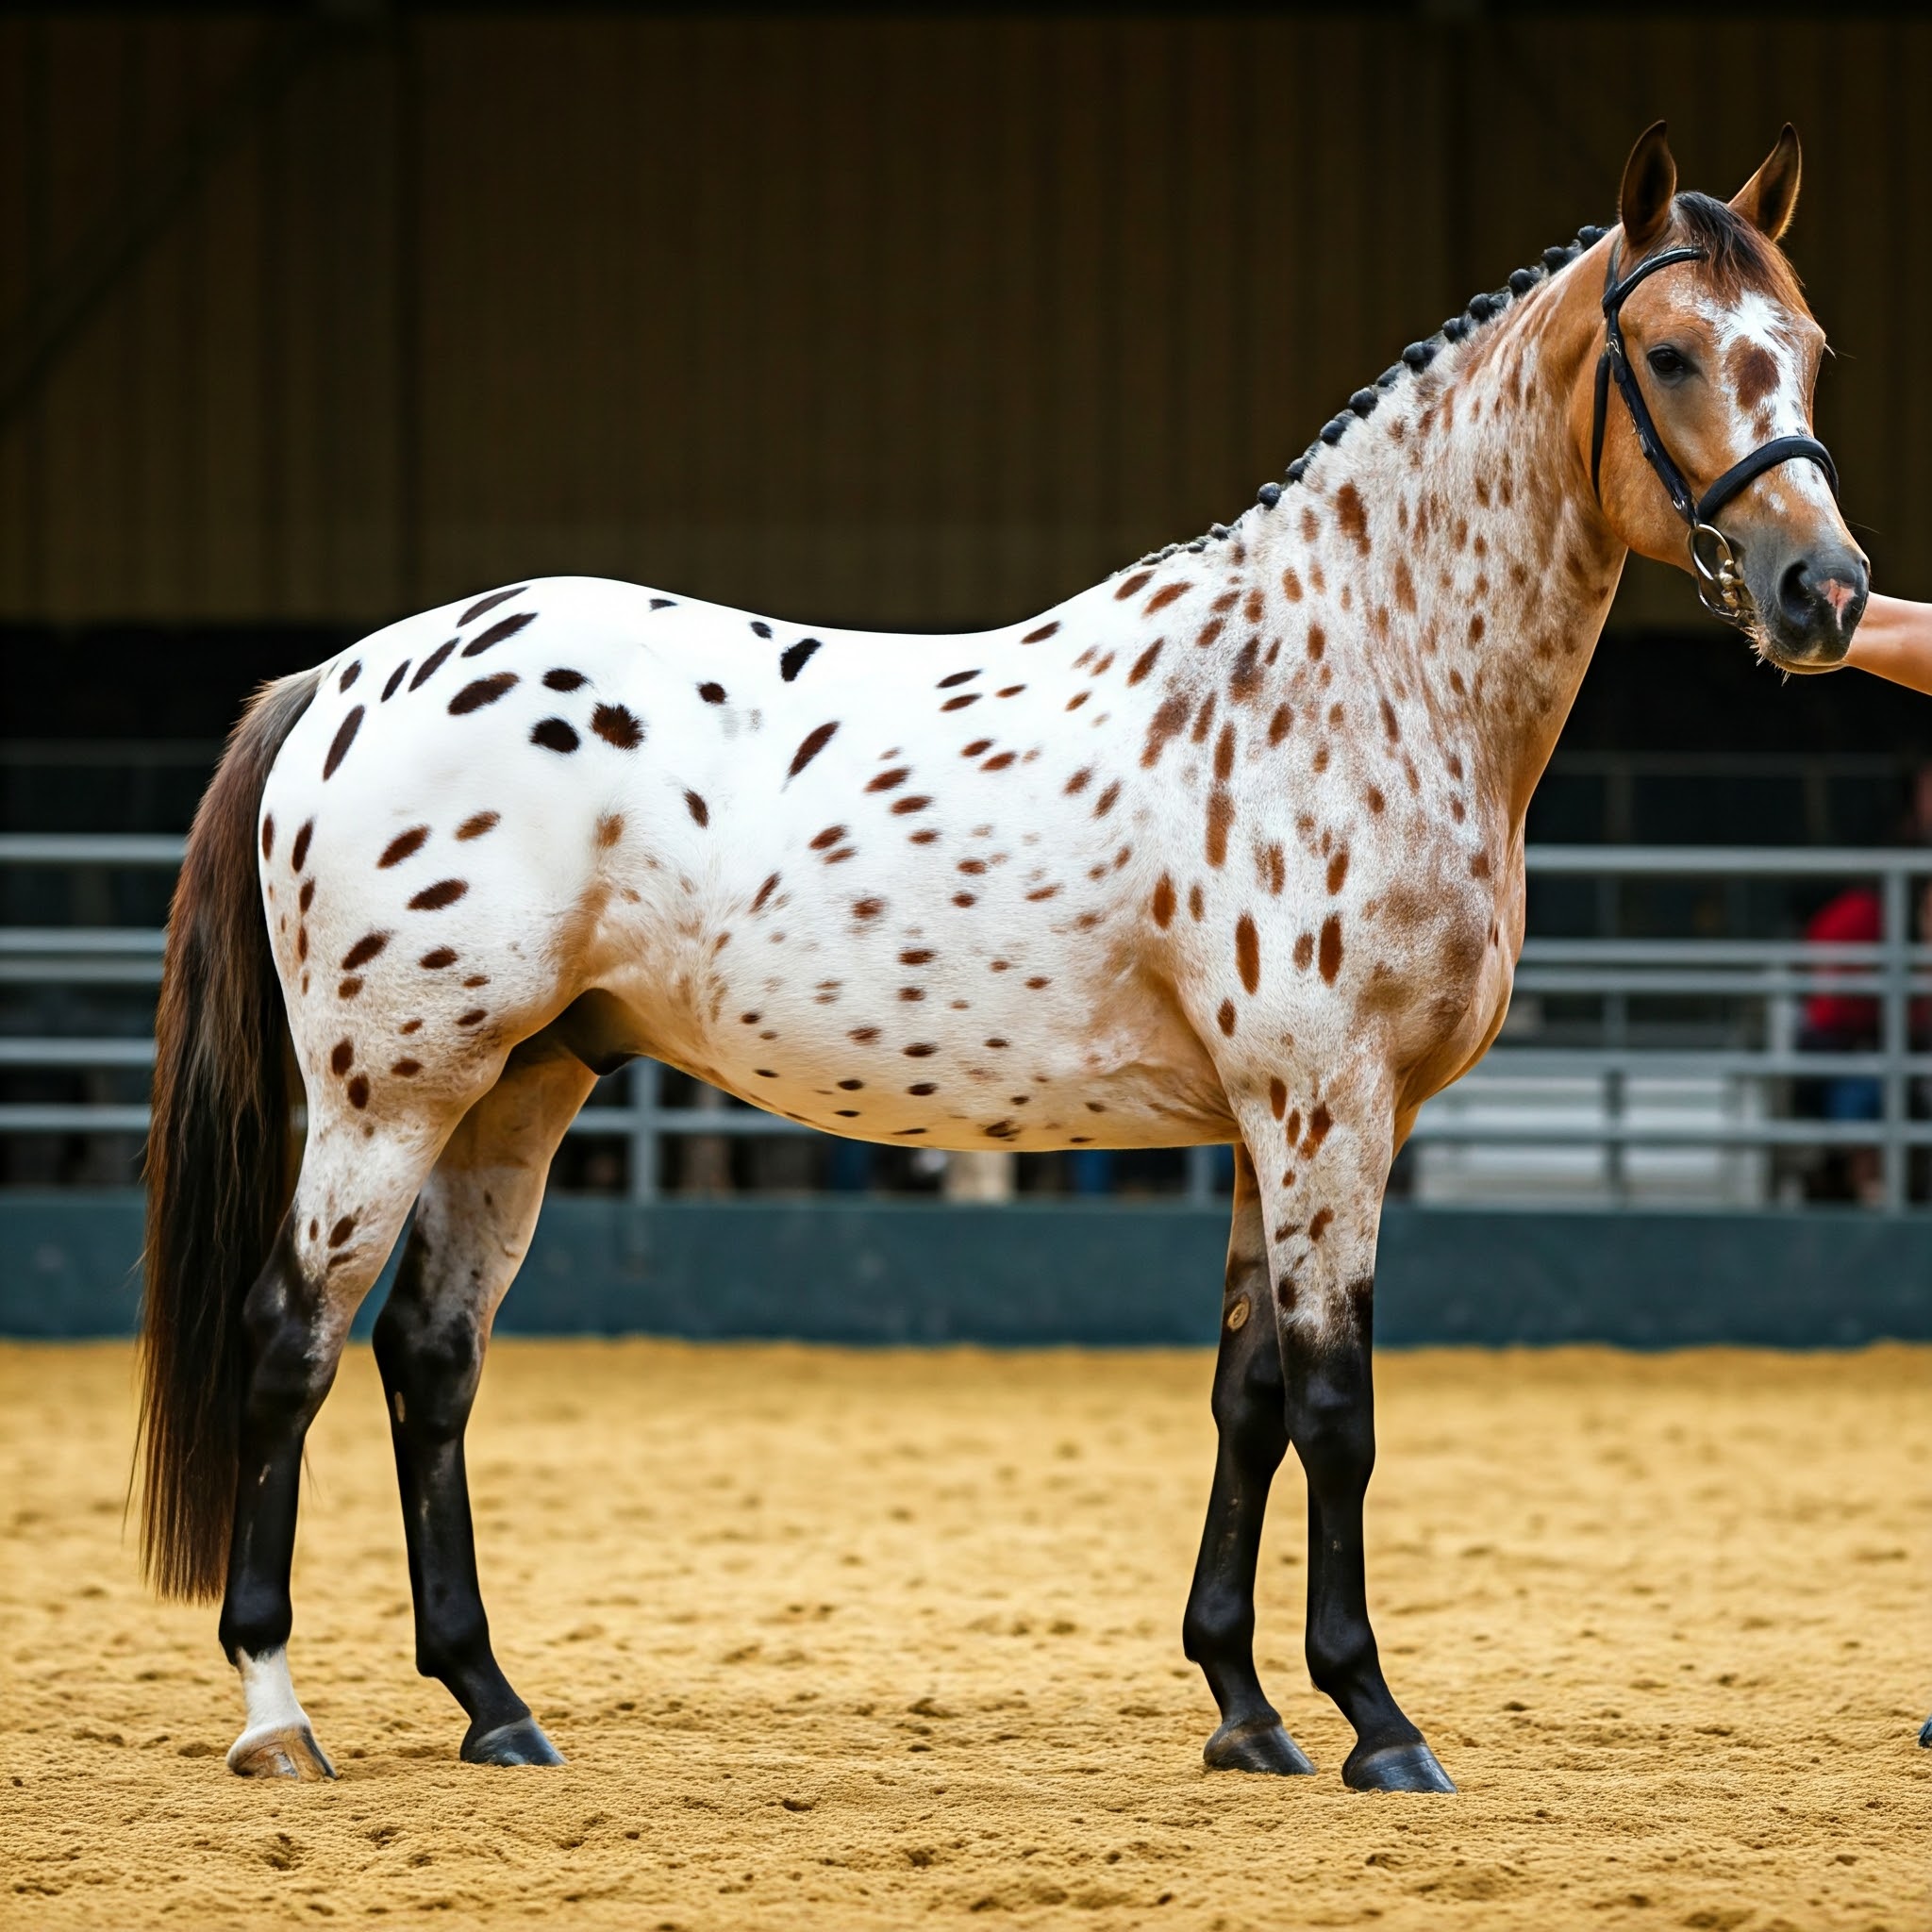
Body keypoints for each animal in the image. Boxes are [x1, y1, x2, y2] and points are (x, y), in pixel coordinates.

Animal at [140, 121, 1870, 1785]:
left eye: (1804, 346)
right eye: (1669, 354)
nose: (1827, 591)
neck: (1349, 675)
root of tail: (343, 676)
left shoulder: (1270, 1128)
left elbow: (1246, 1398)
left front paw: (1245, 1709)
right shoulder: (1329, 1112)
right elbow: (1336, 1408)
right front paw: (1377, 1722)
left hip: (517, 1090)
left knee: (430, 1357)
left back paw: (494, 1704)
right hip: (389, 1098)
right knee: (292, 1343)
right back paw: (276, 1713)